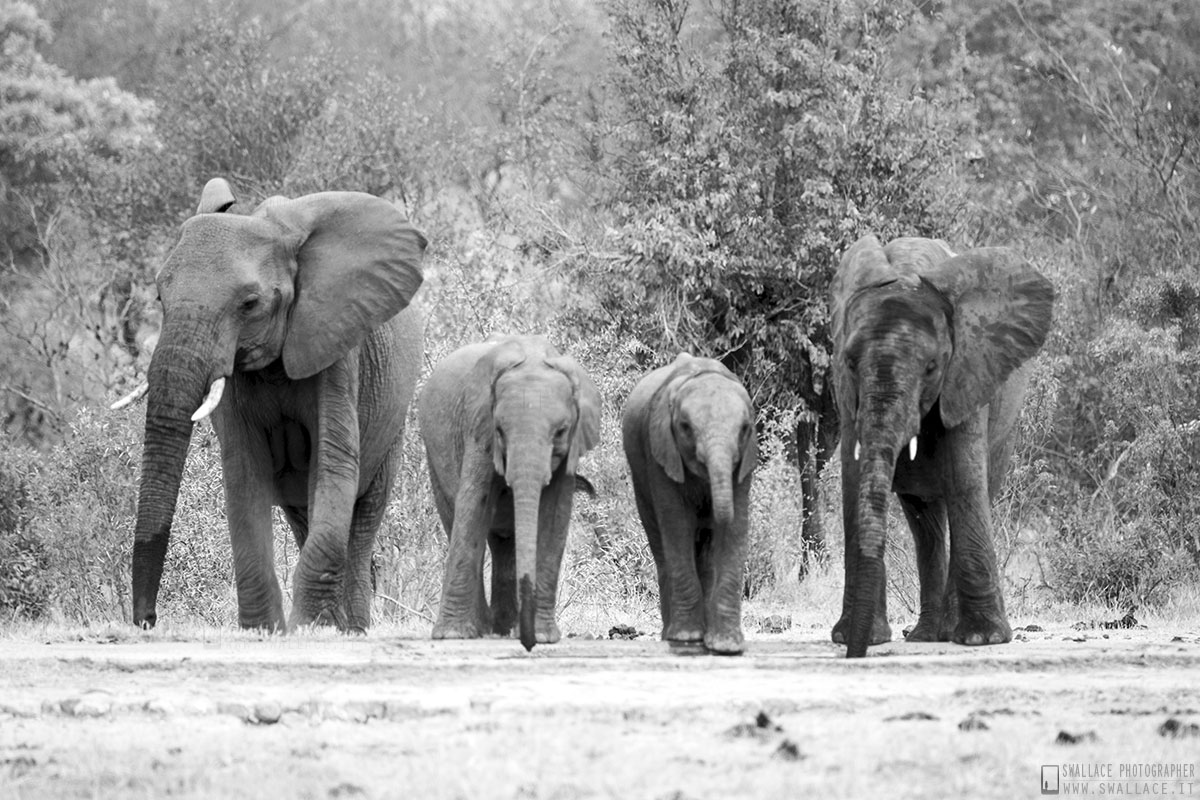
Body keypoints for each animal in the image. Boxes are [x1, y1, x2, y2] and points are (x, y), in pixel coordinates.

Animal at [117, 178, 427, 633]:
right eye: (159, 296)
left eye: (249, 304)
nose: (147, 620)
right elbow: (244, 474)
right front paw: (265, 629)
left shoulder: (335, 346)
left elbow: (334, 462)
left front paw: (307, 626)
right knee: (304, 516)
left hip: (394, 424)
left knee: (363, 515)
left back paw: (350, 627)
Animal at [420, 331, 600, 652]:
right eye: (500, 431)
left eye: (560, 432)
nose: (528, 645)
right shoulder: (478, 431)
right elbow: (473, 506)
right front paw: (452, 635)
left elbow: (553, 518)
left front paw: (543, 637)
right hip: (434, 456)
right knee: (460, 523)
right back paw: (484, 629)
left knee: (505, 544)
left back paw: (505, 629)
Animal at [624, 352, 753, 652]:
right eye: (685, 428)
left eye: (744, 429)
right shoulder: (660, 454)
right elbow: (676, 523)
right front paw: (686, 638)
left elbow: (735, 528)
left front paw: (726, 646)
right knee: (662, 547)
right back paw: (672, 634)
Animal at [835, 231, 1051, 657]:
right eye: (850, 362)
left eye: (932, 367)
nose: (854, 656)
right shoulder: (847, 393)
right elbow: (853, 484)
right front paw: (853, 637)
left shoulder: (968, 373)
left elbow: (965, 480)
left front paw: (984, 639)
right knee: (926, 522)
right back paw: (926, 634)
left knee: (971, 494)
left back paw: (951, 632)